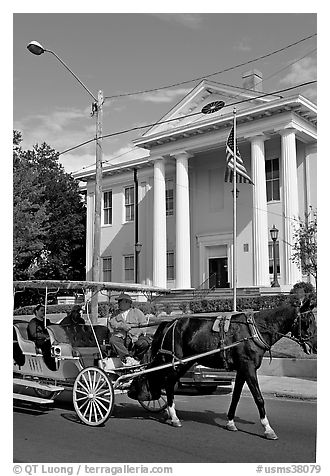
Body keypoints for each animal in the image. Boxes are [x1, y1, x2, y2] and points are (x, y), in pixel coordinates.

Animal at [127, 300, 316, 440]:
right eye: (308, 322)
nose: (314, 346)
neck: (254, 330)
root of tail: (169, 323)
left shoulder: (242, 370)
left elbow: (236, 397)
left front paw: (231, 422)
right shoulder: (248, 367)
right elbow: (259, 399)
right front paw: (267, 428)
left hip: (183, 362)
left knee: (165, 381)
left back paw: (167, 411)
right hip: (175, 361)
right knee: (167, 382)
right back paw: (173, 416)